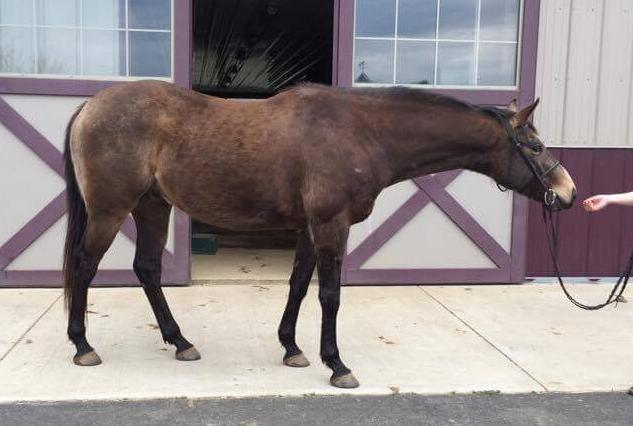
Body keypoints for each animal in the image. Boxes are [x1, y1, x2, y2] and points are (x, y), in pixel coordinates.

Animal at [63, 81, 576, 388]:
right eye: (534, 145)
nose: (567, 193)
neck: (361, 132)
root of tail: (90, 105)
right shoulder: (332, 224)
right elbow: (329, 294)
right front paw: (337, 364)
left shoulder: (310, 228)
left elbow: (297, 285)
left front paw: (292, 348)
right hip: (111, 210)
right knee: (85, 267)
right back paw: (83, 347)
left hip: (153, 205)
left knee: (148, 269)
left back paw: (181, 342)